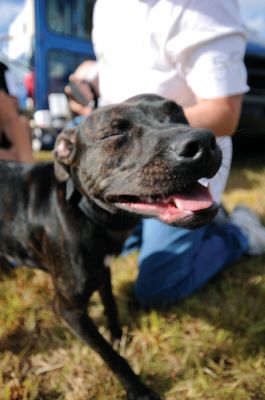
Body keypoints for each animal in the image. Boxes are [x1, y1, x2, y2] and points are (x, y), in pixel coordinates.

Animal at [0, 95, 221, 398]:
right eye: (113, 134)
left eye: (178, 113)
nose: (202, 141)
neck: (85, 211)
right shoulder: (68, 308)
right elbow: (109, 355)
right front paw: (136, 387)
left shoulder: (104, 272)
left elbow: (111, 306)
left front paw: (118, 336)